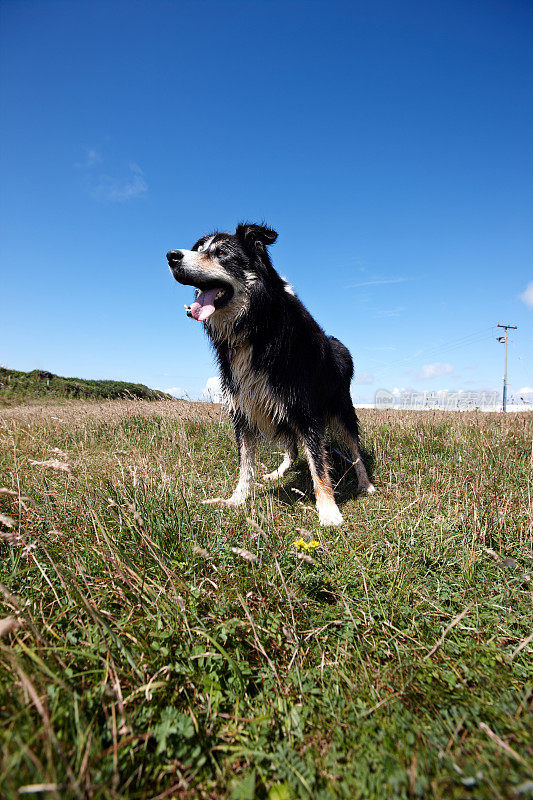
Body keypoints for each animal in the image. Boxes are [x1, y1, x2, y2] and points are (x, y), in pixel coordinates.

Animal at [166, 223, 374, 524]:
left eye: (221, 253)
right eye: (199, 249)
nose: (171, 256)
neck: (256, 325)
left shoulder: (305, 408)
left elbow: (318, 463)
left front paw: (328, 510)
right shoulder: (244, 406)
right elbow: (245, 464)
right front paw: (236, 500)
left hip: (340, 408)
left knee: (354, 450)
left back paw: (365, 483)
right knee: (292, 447)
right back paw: (279, 472)